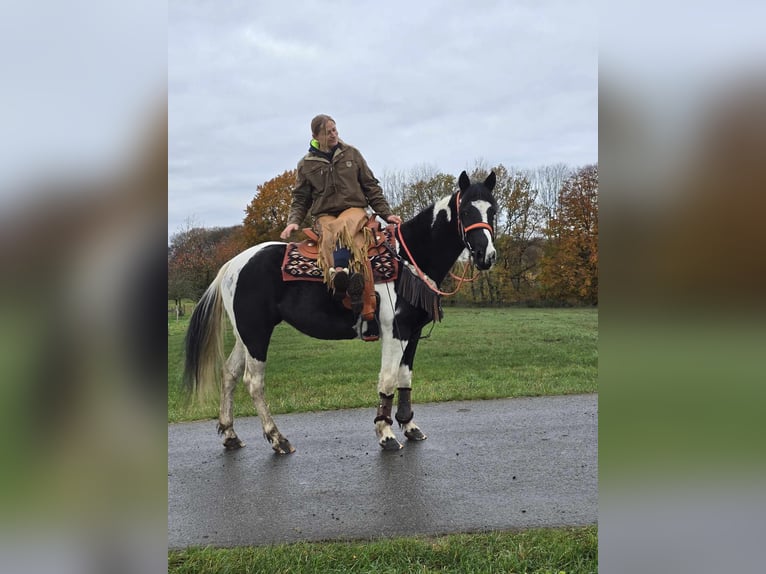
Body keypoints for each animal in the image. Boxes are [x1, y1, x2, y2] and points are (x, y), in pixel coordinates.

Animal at [184, 171, 500, 454]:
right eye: (466, 211)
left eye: (493, 210)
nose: (487, 256)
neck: (406, 259)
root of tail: (233, 264)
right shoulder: (394, 331)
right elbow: (388, 378)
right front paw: (386, 433)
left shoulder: (412, 333)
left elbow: (404, 378)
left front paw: (409, 426)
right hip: (256, 334)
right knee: (253, 382)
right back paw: (277, 439)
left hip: (244, 336)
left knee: (229, 374)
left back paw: (230, 435)